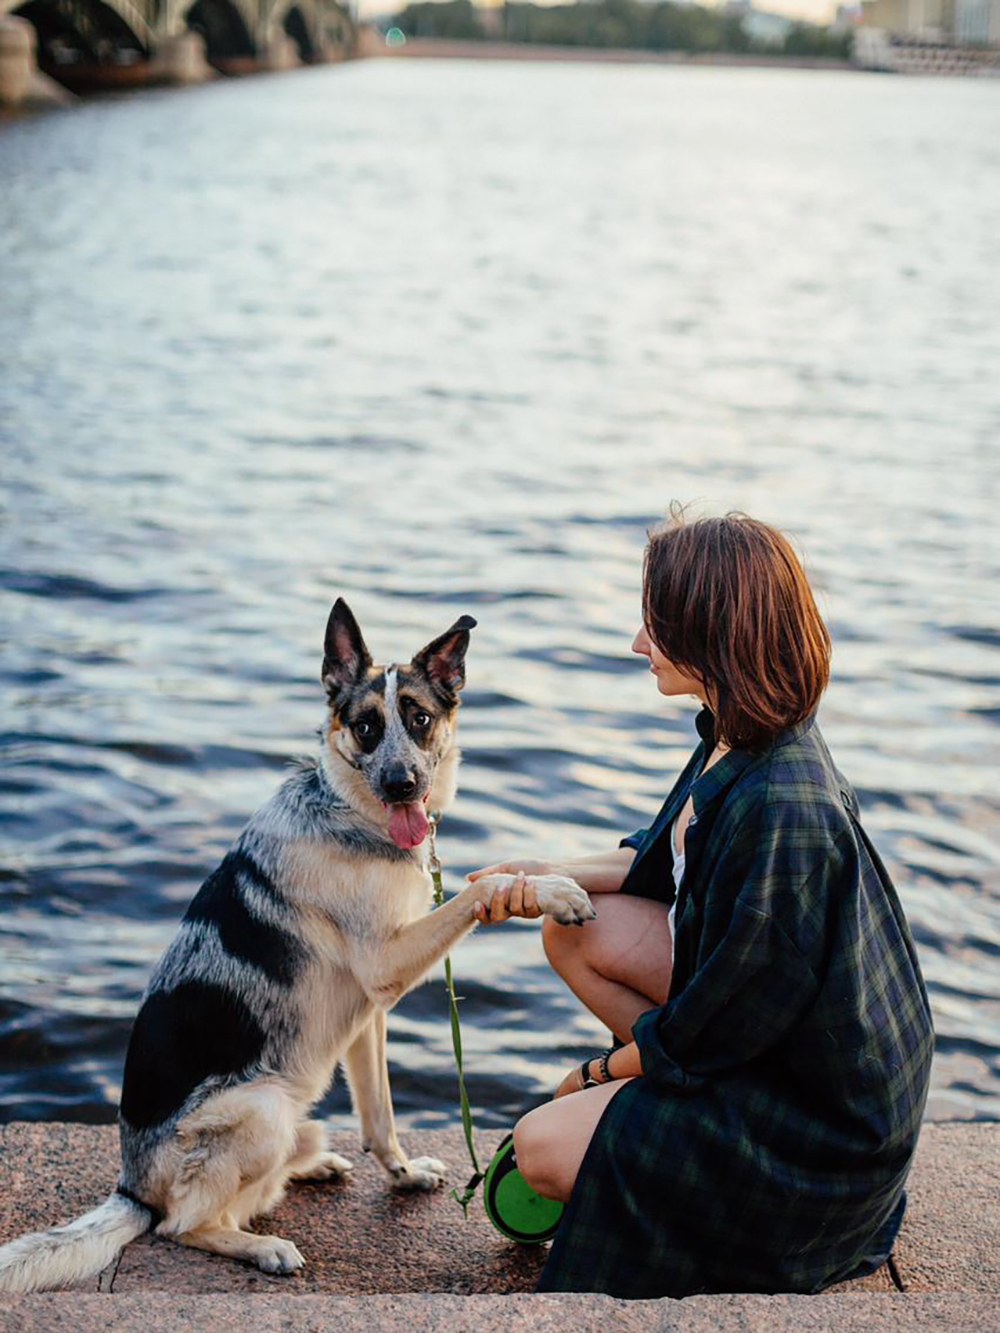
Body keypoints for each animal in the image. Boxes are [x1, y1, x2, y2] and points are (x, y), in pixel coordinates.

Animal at [0, 602, 594, 1290]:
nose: (401, 784)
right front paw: (551, 890)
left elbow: (379, 1115)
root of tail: (132, 1189)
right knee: (182, 1224)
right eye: (366, 727)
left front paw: (401, 1173)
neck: (349, 811)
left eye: (419, 719)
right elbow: (485, 888)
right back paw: (261, 1247)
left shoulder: (371, 1013)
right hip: (264, 1105)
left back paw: (309, 1166)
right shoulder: (386, 965)